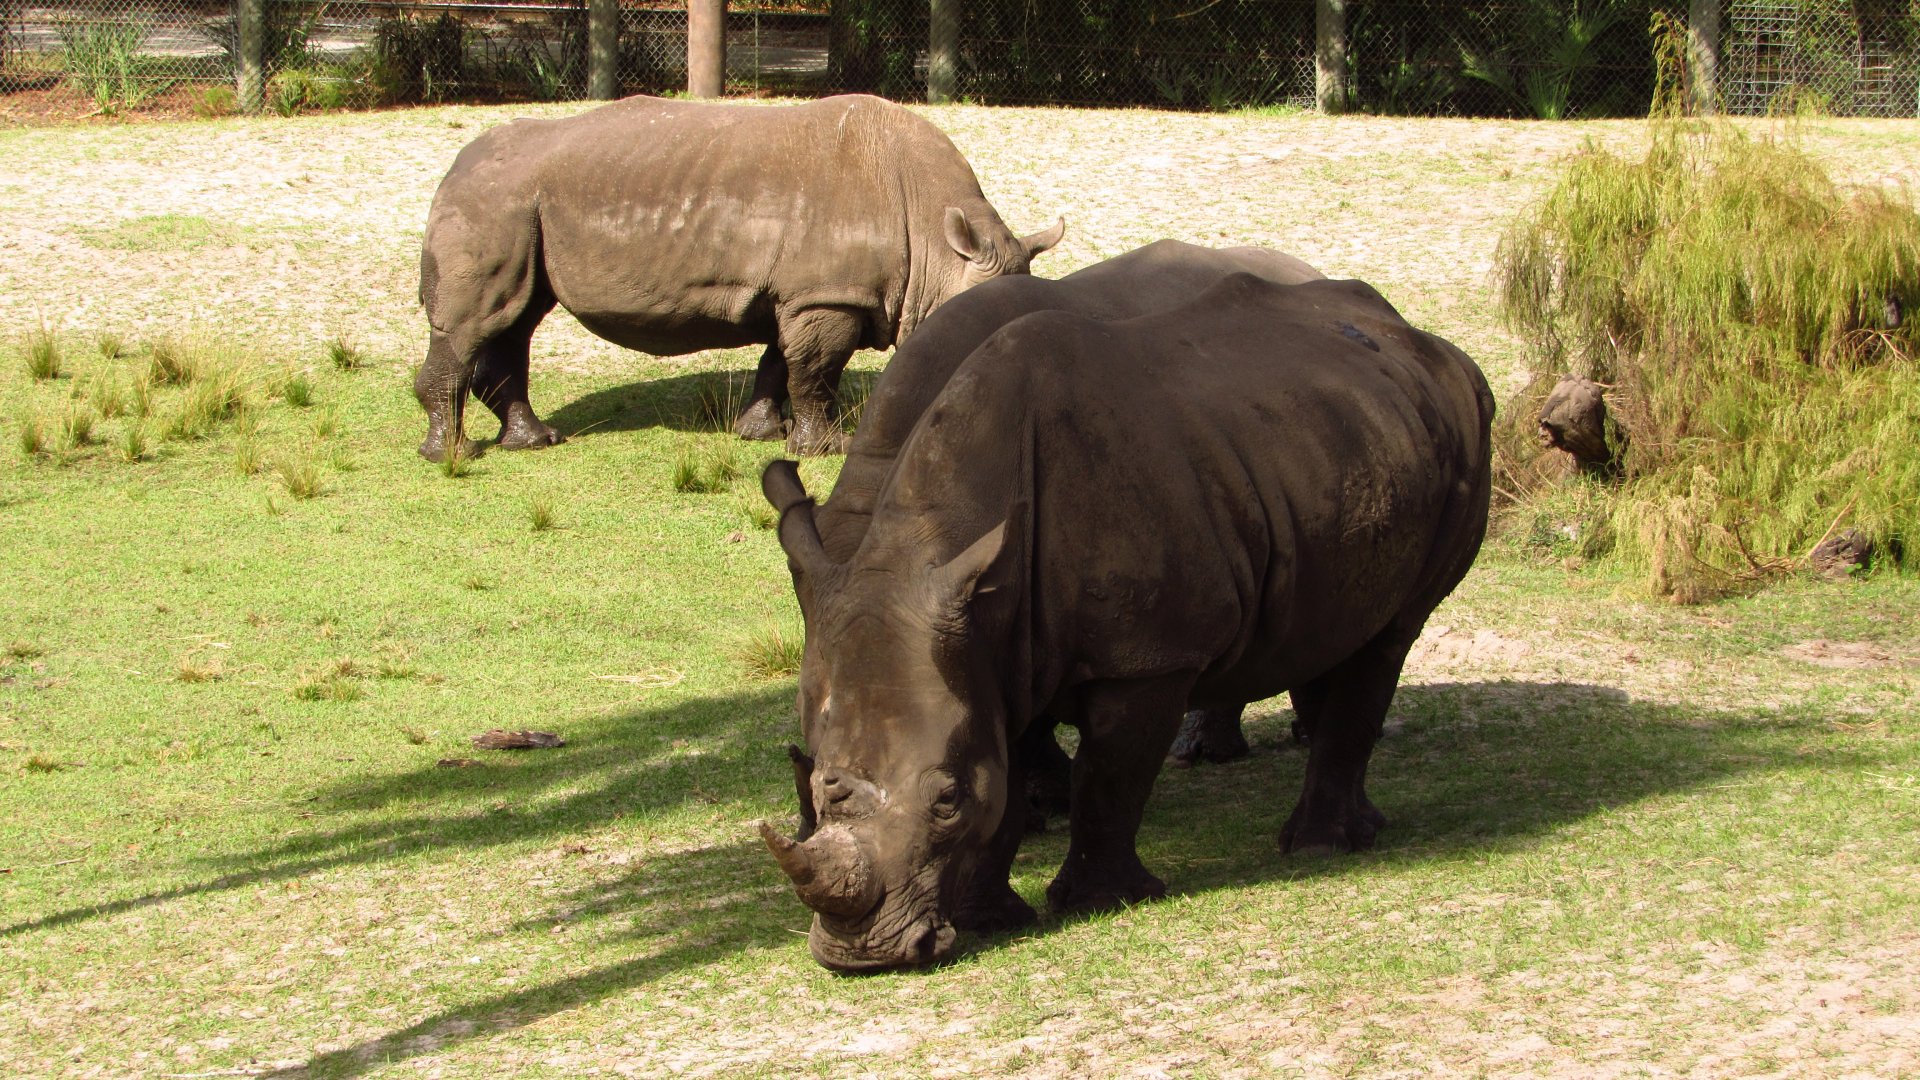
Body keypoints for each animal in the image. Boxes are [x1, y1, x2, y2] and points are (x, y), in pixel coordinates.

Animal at [413, 93, 1064, 461]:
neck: (937, 241)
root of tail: (455, 166)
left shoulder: (797, 295)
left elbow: (781, 363)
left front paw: (759, 433)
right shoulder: (825, 296)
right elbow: (816, 372)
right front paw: (825, 449)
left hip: (516, 204)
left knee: (517, 317)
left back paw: (535, 441)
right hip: (492, 200)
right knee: (478, 322)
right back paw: (453, 455)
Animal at [760, 269, 1494, 970]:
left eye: (945, 801)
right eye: (819, 789)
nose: (862, 955)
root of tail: (1423, 339)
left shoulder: (1150, 657)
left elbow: (1112, 775)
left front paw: (1099, 901)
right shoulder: (983, 648)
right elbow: (1002, 776)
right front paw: (986, 919)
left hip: (1461, 432)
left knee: (1392, 634)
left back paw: (1319, 848)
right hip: (1339, 438)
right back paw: (1354, 823)